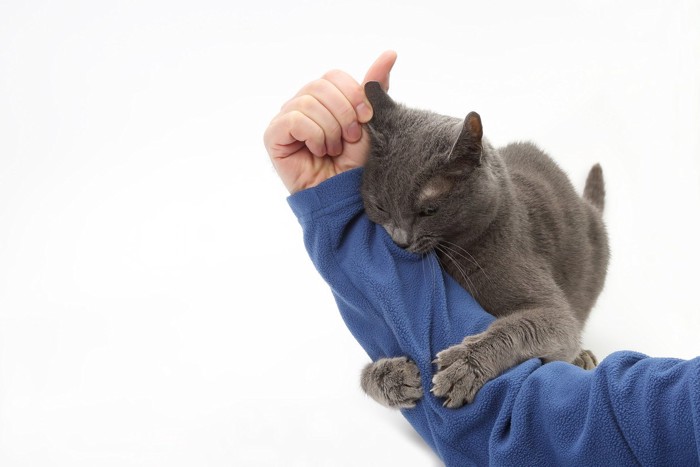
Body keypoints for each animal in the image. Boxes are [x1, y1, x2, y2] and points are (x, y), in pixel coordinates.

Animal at [358, 81, 608, 410]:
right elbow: (364, 376)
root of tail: (586, 205)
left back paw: (582, 357)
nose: (400, 238)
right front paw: (391, 378)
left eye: (429, 210)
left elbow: (526, 326)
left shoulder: (556, 314)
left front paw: (465, 365)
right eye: (380, 206)